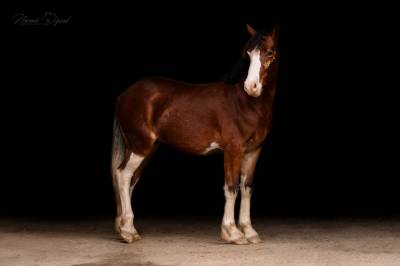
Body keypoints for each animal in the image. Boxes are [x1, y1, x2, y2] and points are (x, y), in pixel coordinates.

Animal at [111, 25, 280, 245]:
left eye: (269, 53)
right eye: (249, 54)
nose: (251, 87)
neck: (245, 103)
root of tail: (124, 95)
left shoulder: (253, 151)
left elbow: (247, 188)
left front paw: (249, 231)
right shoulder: (233, 150)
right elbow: (231, 188)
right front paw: (233, 233)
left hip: (146, 148)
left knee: (132, 179)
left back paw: (128, 228)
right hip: (139, 146)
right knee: (123, 175)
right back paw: (127, 232)